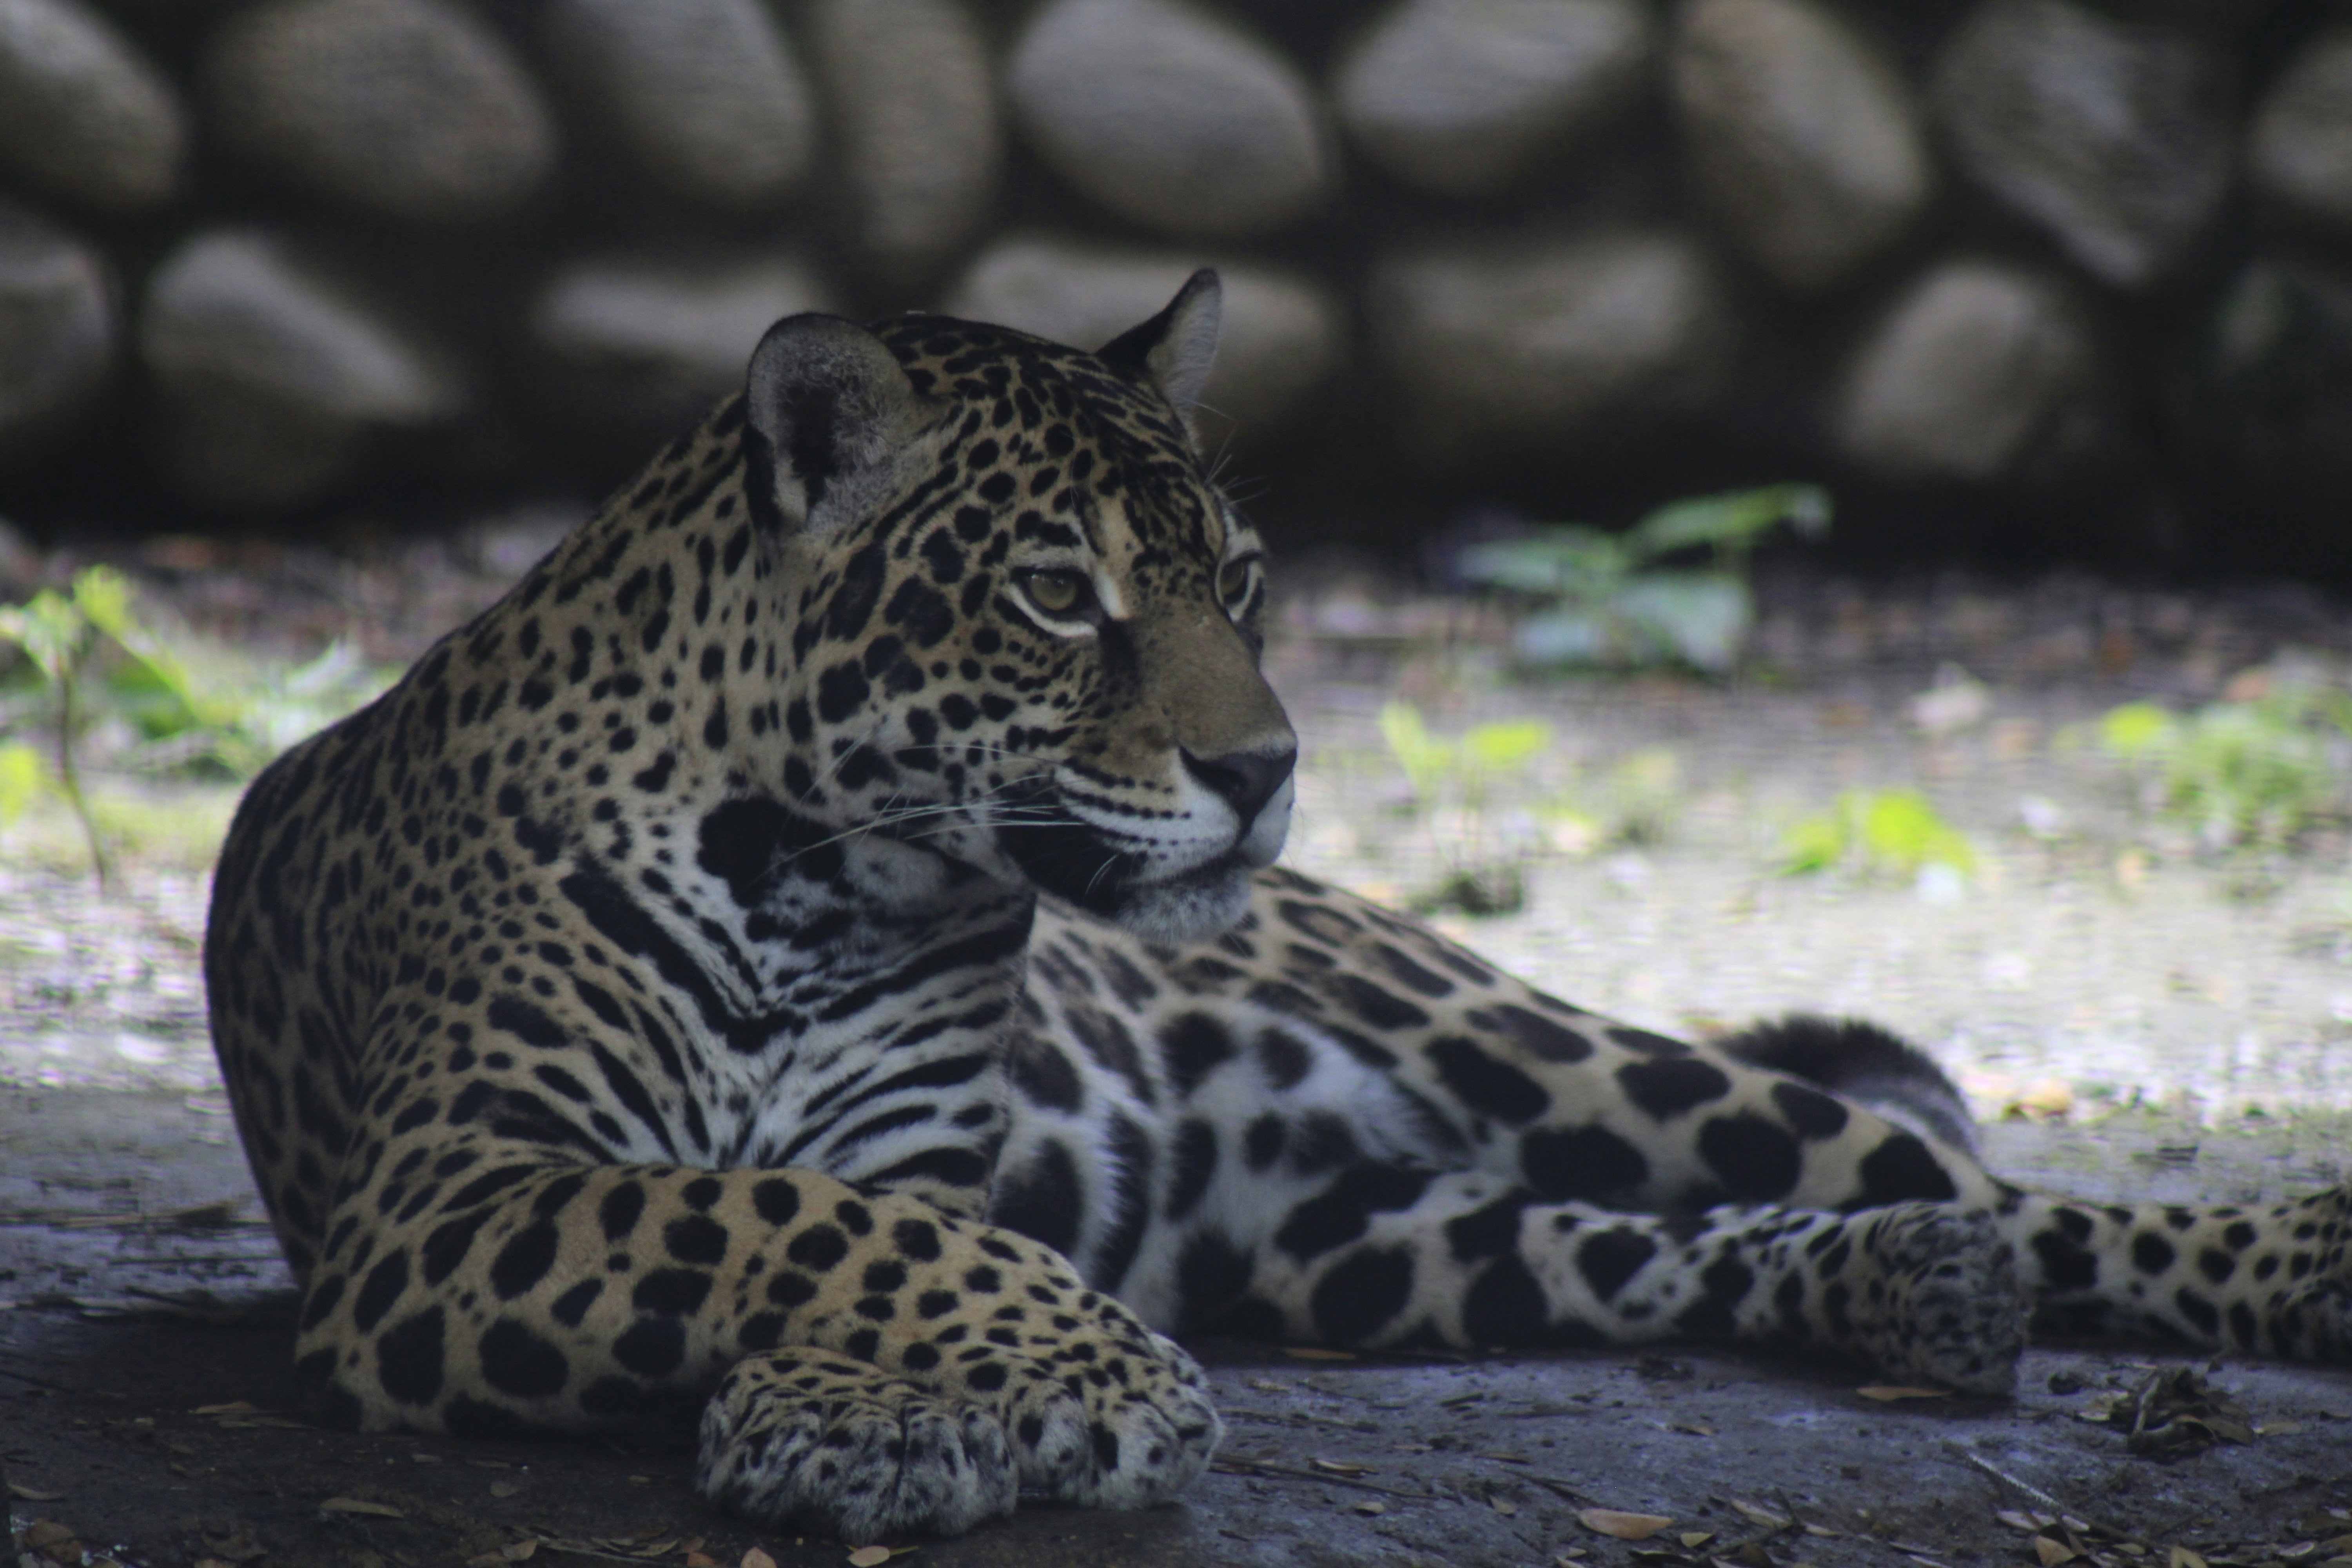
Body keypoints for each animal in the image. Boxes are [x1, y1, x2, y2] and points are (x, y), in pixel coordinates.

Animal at [205, 272, 2352, 1545]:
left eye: (1236, 579)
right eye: (1057, 594)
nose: (1265, 769)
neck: (820, 865)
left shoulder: (909, 1146)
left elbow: (875, 1216)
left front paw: (904, 1406)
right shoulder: (450, 1185)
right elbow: (776, 1213)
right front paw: (1019, 1385)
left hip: (1526, 1045)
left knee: (1959, 1171)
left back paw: (2275, 1258)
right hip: (1364, 1244)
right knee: (1641, 1243)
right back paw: (1908, 1287)